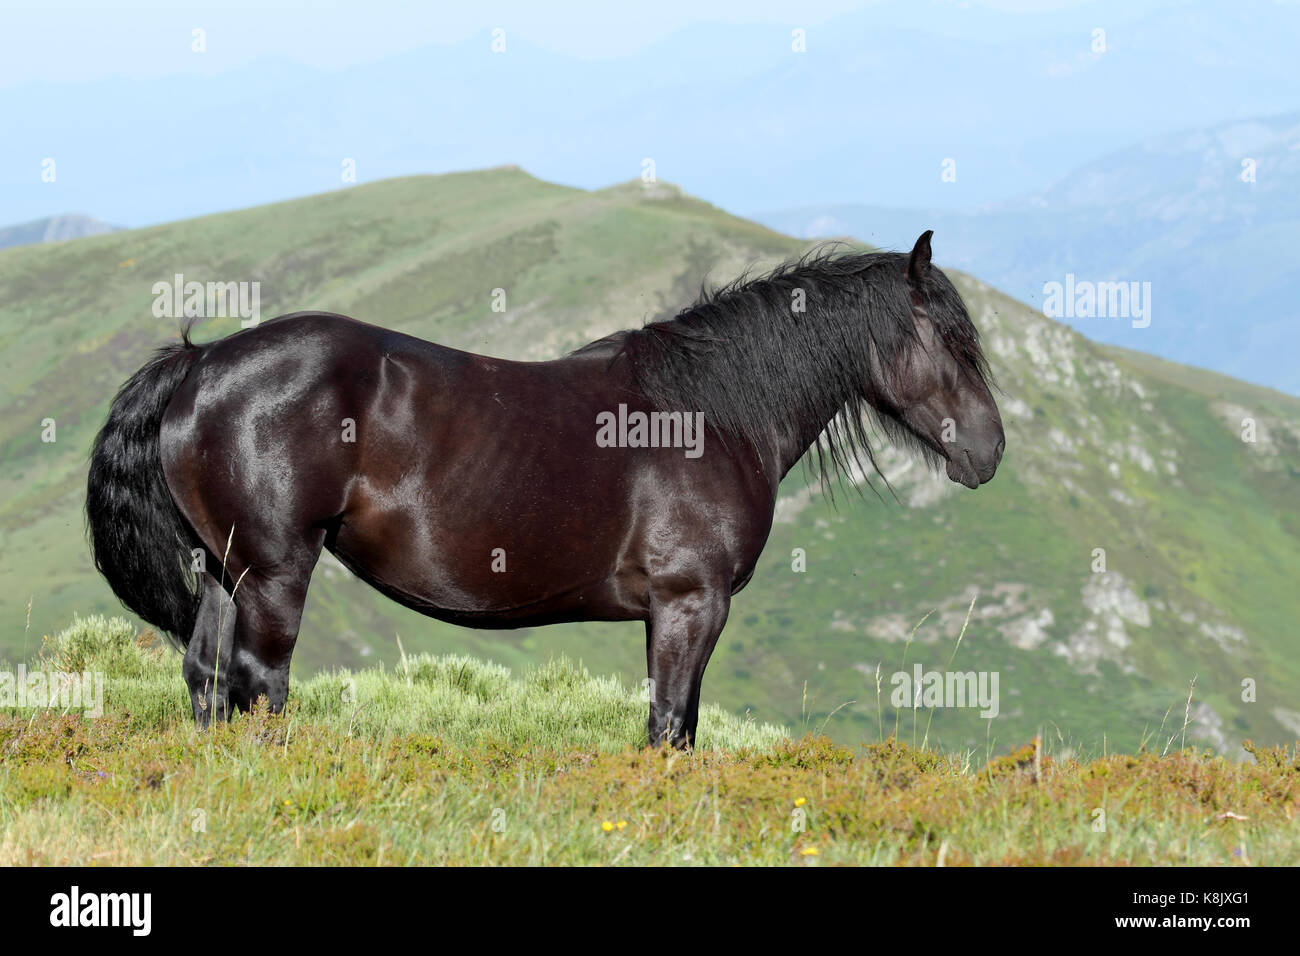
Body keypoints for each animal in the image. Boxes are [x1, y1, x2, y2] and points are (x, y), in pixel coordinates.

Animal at [86, 234, 1003, 749]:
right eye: (952, 341)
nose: (989, 451)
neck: (709, 410)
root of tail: (201, 361)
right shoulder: (691, 604)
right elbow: (671, 729)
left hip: (222, 570)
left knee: (206, 677)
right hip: (274, 574)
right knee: (258, 685)